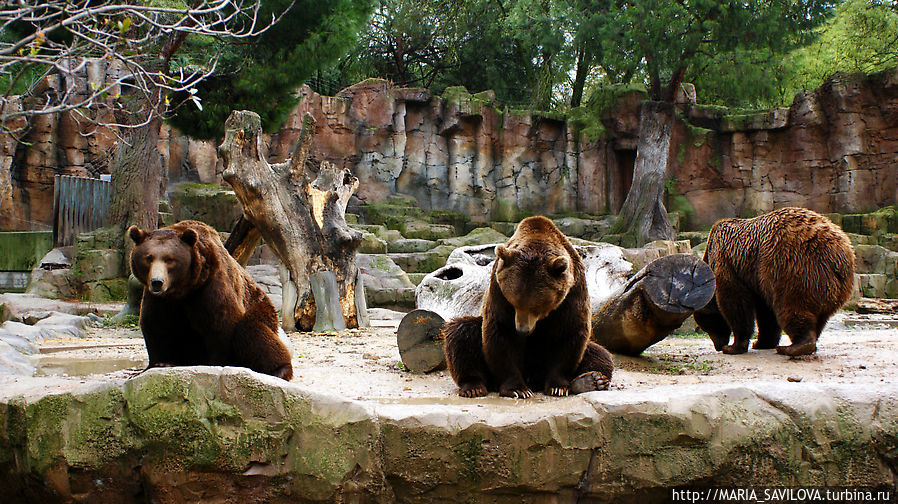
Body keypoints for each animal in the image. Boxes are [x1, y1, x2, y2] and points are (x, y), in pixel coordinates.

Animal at [126, 219, 292, 380]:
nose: (157, 282)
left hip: (260, 307)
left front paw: (217, 364)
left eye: (169, 259)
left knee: (253, 330)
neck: (185, 288)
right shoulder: (160, 300)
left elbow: (222, 326)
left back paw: (279, 370)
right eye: (148, 258)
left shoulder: (212, 287)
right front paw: (161, 362)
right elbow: (156, 324)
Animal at [440, 216, 612, 398]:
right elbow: (501, 332)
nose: (522, 330)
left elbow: (570, 333)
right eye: (514, 303)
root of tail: (534, 380)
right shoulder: (498, 289)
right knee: (462, 332)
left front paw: (558, 387)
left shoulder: (572, 292)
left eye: (537, 307)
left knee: (600, 354)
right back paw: (473, 386)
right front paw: (518, 389)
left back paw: (591, 380)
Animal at [692, 207, 856, 356]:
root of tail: (839, 254)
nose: (718, 346)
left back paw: (793, 347)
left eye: (707, 325)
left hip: (795, 268)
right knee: (818, 317)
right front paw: (761, 343)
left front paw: (733, 347)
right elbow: (766, 313)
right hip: (834, 285)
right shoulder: (757, 280)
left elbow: (736, 303)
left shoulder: (728, 264)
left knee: (791, 306)